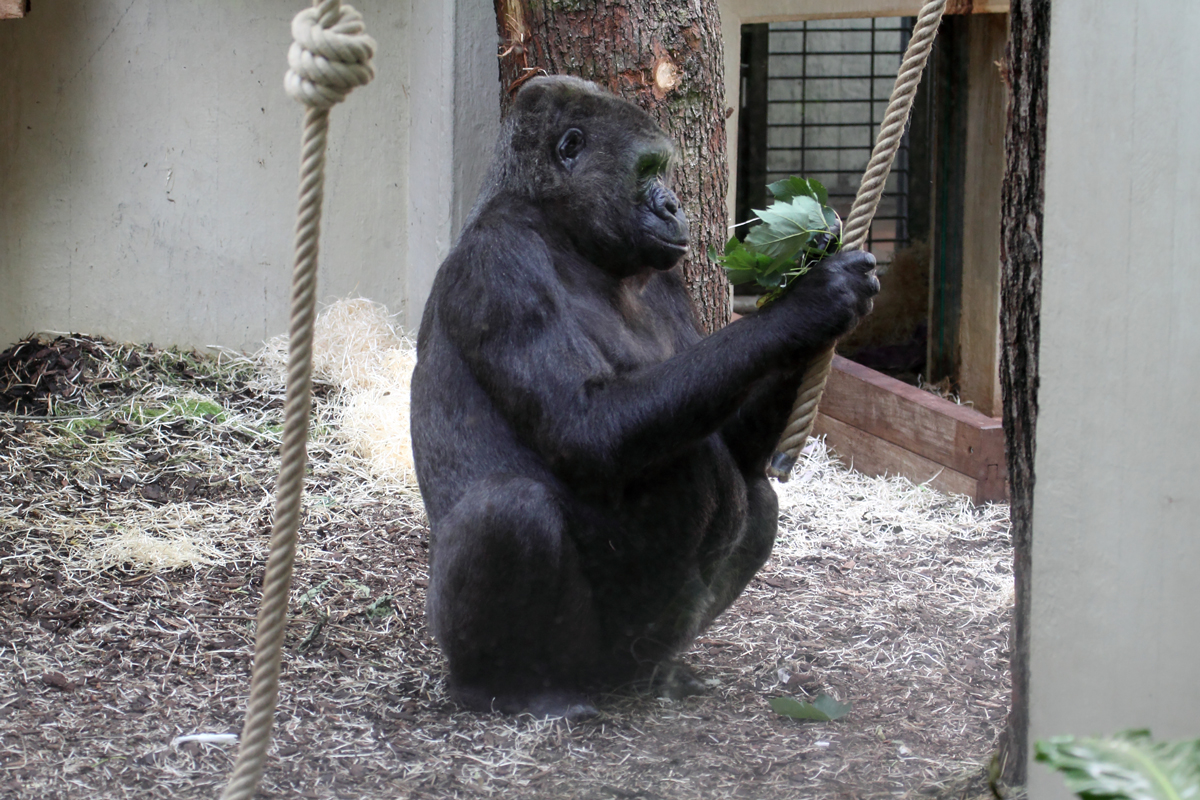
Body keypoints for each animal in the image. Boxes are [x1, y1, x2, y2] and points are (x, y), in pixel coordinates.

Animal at [408, 76, 878, 719]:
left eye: (665, 173)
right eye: (648, 170)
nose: (674, 206)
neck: (565, 230)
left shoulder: (666, 277)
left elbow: (736, 443)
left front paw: (813, 280)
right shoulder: (498, 261)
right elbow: (587, 427)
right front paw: (810, 302)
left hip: (634, 651)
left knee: (756, 499)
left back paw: (656, 673)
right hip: (560, 652)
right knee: (508, 510)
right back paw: (501, 685)